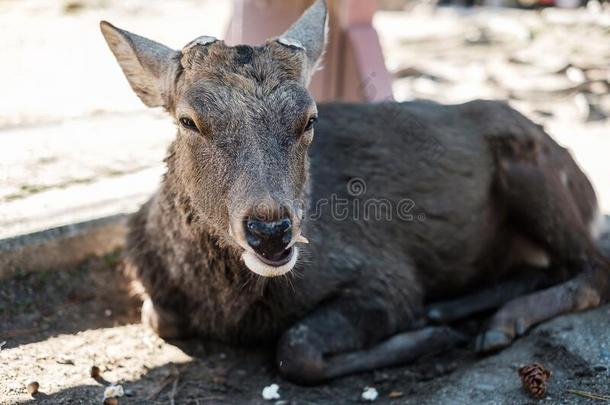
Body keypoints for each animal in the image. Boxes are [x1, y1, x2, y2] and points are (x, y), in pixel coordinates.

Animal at [97, 0, 604, 386]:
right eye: (189, 120)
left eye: (310, 118)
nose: (271, 231)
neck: (225, 304)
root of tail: (583, 179)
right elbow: (159, 316)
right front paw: (431, 327)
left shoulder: (385, 274)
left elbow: (295, 348)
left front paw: (426, 337)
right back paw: (454, 311)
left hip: (533, 170)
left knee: (595, 269)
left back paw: (492, 323)